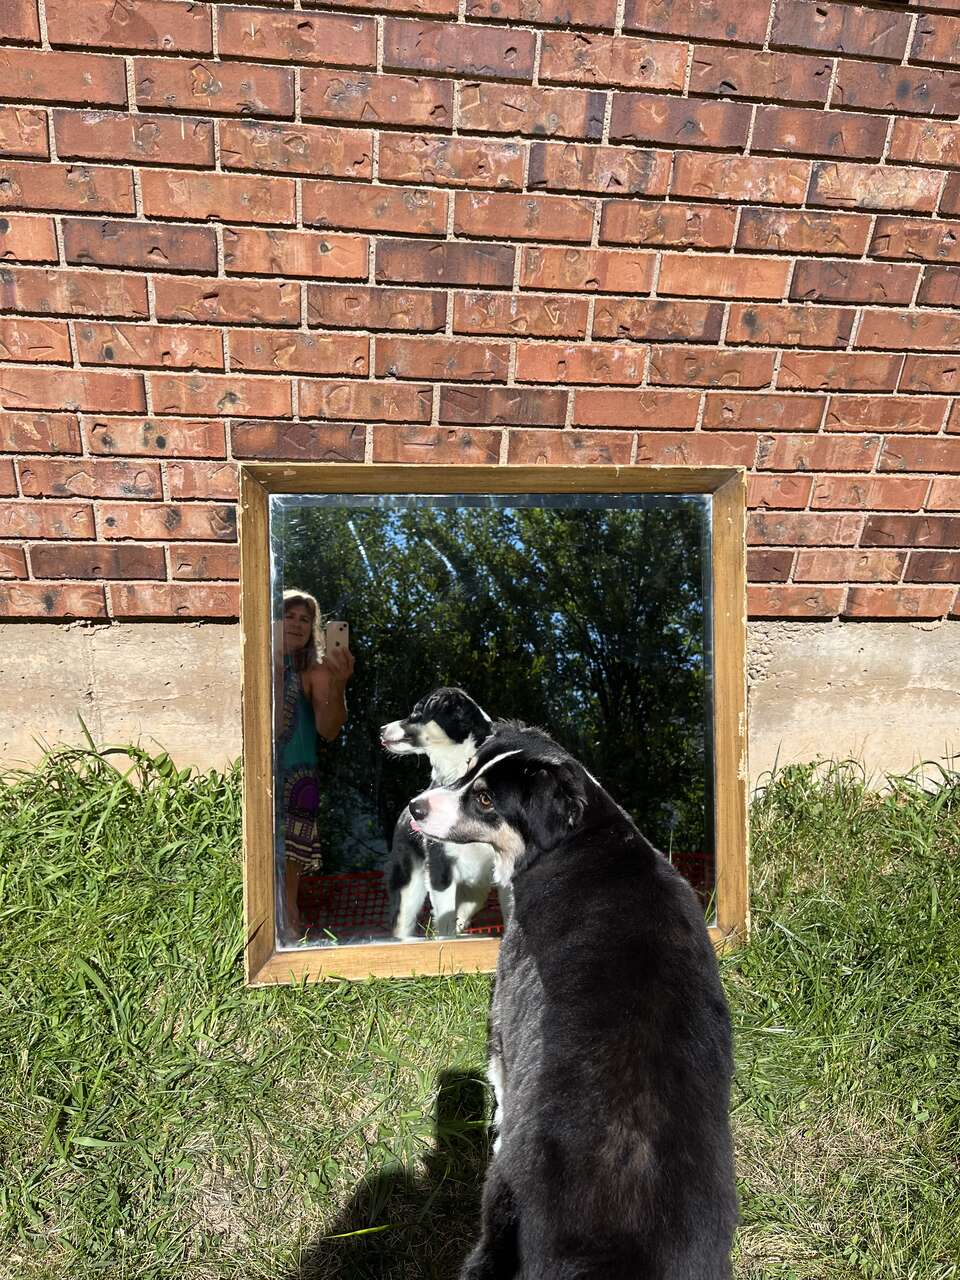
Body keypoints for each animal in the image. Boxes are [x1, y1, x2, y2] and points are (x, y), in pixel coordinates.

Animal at [380, 688, 512, 939]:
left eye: (416, 712)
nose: (381, 730)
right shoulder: (440, 868)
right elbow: (445, 923)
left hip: (476, 891)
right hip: (408, 888)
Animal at [409, 724, 737, 1279]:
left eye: (484, 799)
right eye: (470, 767)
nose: (414, 807)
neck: (581, 837)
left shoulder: (508, 997)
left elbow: (499, 1081)